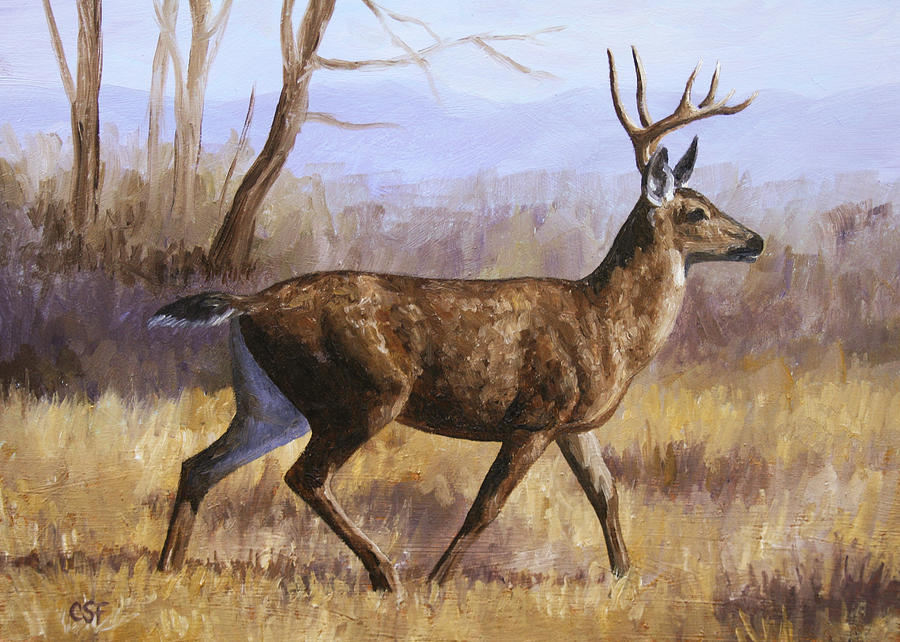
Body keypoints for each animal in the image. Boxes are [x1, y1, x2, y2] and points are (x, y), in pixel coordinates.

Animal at [150, 47, 762, 597]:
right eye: (697, 211)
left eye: (709, 201)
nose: (756, 240)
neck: (607, 326)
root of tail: (249, 306)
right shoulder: (536, 416)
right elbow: (485, 506)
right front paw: (437, 583)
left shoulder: (573, 424)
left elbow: (606, 494)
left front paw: (626, 577)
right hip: (362, 392)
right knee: (303, 476)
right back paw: (386, 574)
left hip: (270, 403)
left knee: (200, 464)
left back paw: (168, 567)